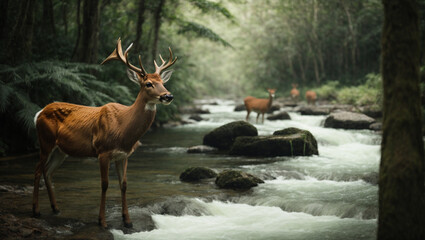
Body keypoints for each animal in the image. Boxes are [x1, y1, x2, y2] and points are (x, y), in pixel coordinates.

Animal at [31, 37, 176, 229]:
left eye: (163, 83)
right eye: (148, 84)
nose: (168, 96)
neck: (123, 128)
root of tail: (39, 113)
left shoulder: (124, 155)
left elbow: (124, 184)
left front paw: (127, 221)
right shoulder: (102, 151)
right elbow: (105, 184)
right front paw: (102, 221)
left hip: (60, 150)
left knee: (48, 172)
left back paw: (55, 209)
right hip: (45, 141)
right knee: (37, 170)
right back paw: (36, 211)